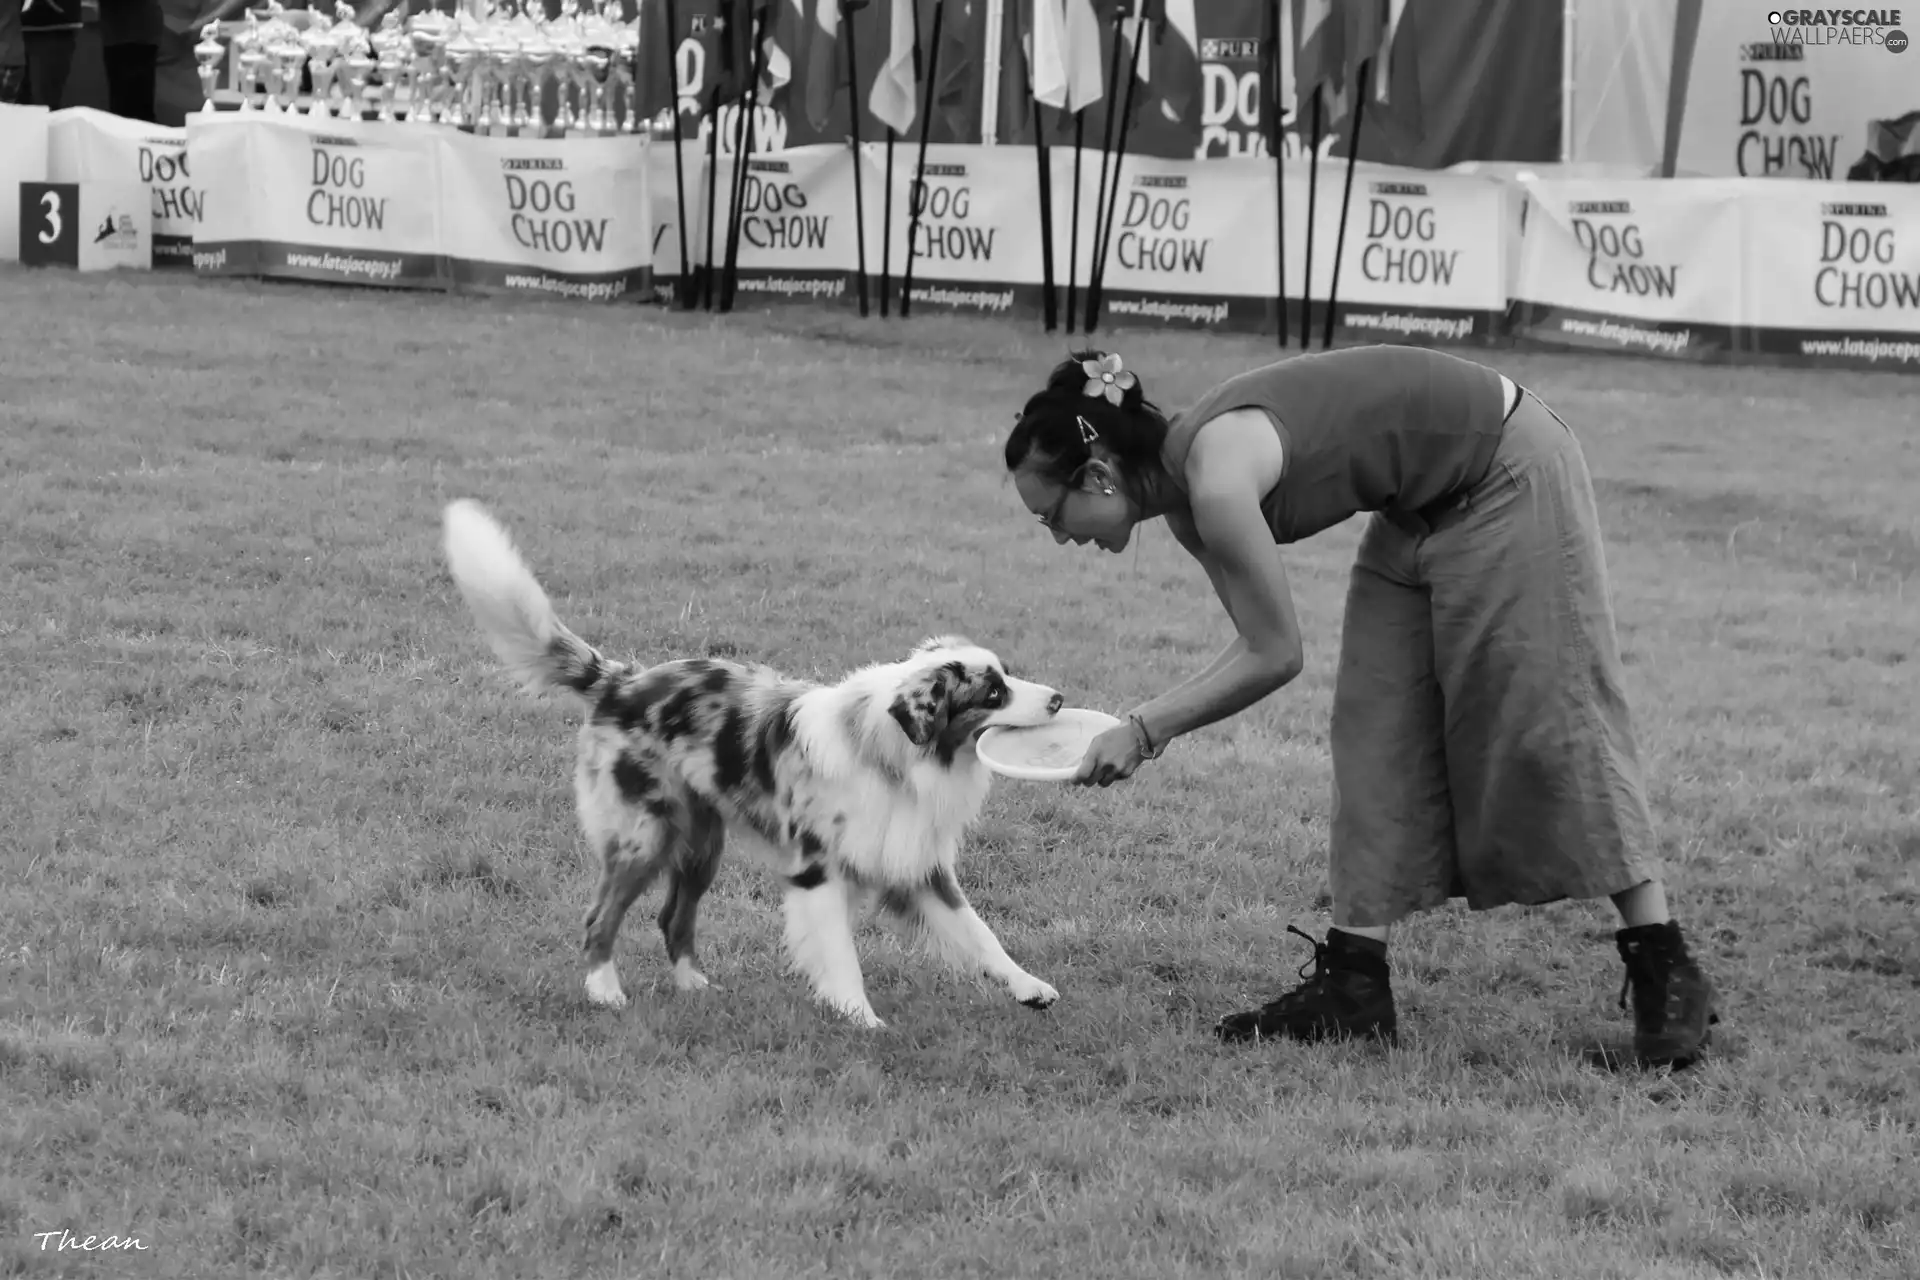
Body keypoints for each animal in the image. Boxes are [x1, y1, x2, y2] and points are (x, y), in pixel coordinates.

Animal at [439, 498, 1067, 1028]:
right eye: (994, 694)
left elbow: (980, 934)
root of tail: (620, 681)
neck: (892, 754)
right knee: (601, 918)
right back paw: (604, 992)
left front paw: (1029, 987)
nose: (1060, 699)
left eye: (1007, 677)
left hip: (701, 846)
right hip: (645, 835)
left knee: (673, 918)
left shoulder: (918, 865)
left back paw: (693, 987)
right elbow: (842, 955)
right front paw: (860, 1018)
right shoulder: (819, 871)